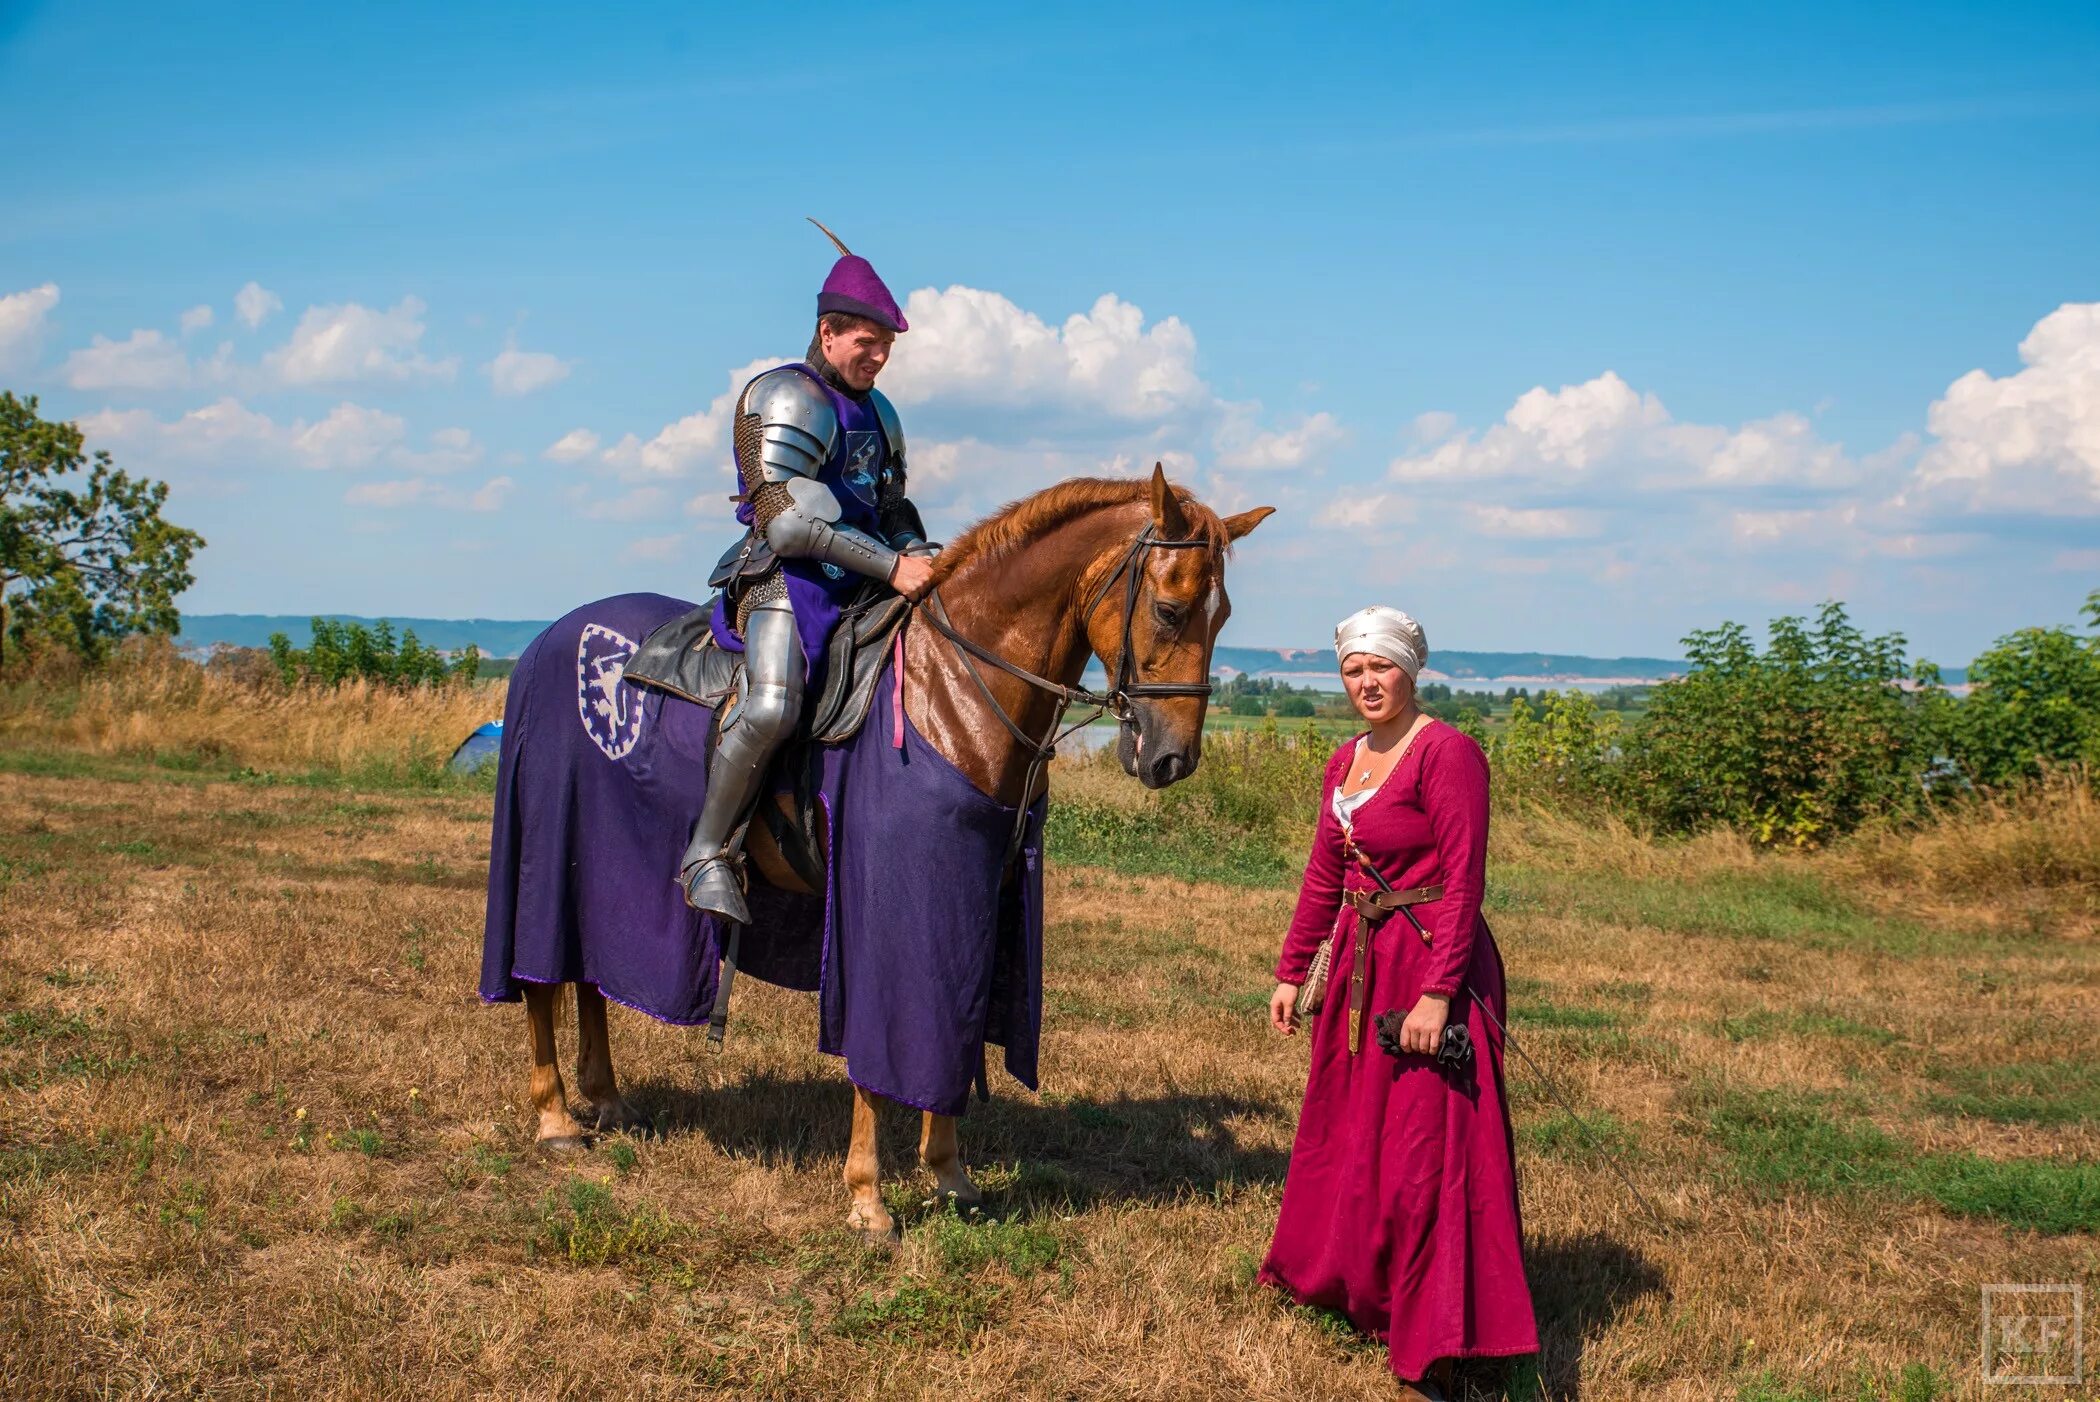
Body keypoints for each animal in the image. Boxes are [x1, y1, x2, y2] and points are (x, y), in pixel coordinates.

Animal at [512, 470, 1260, 1234]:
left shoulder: (976, 899)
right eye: (1169, 611)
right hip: (541, 850)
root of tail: (549, 640)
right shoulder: (891, 911)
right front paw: (869, 1198)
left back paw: (605, 1098)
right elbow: (884, 1045)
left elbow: (954, 1031)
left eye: (1222, 617)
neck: (953, 687)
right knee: (539, 978)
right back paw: (555, 1119)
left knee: (590, 974)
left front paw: (950, 1174)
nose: (1171, 759)